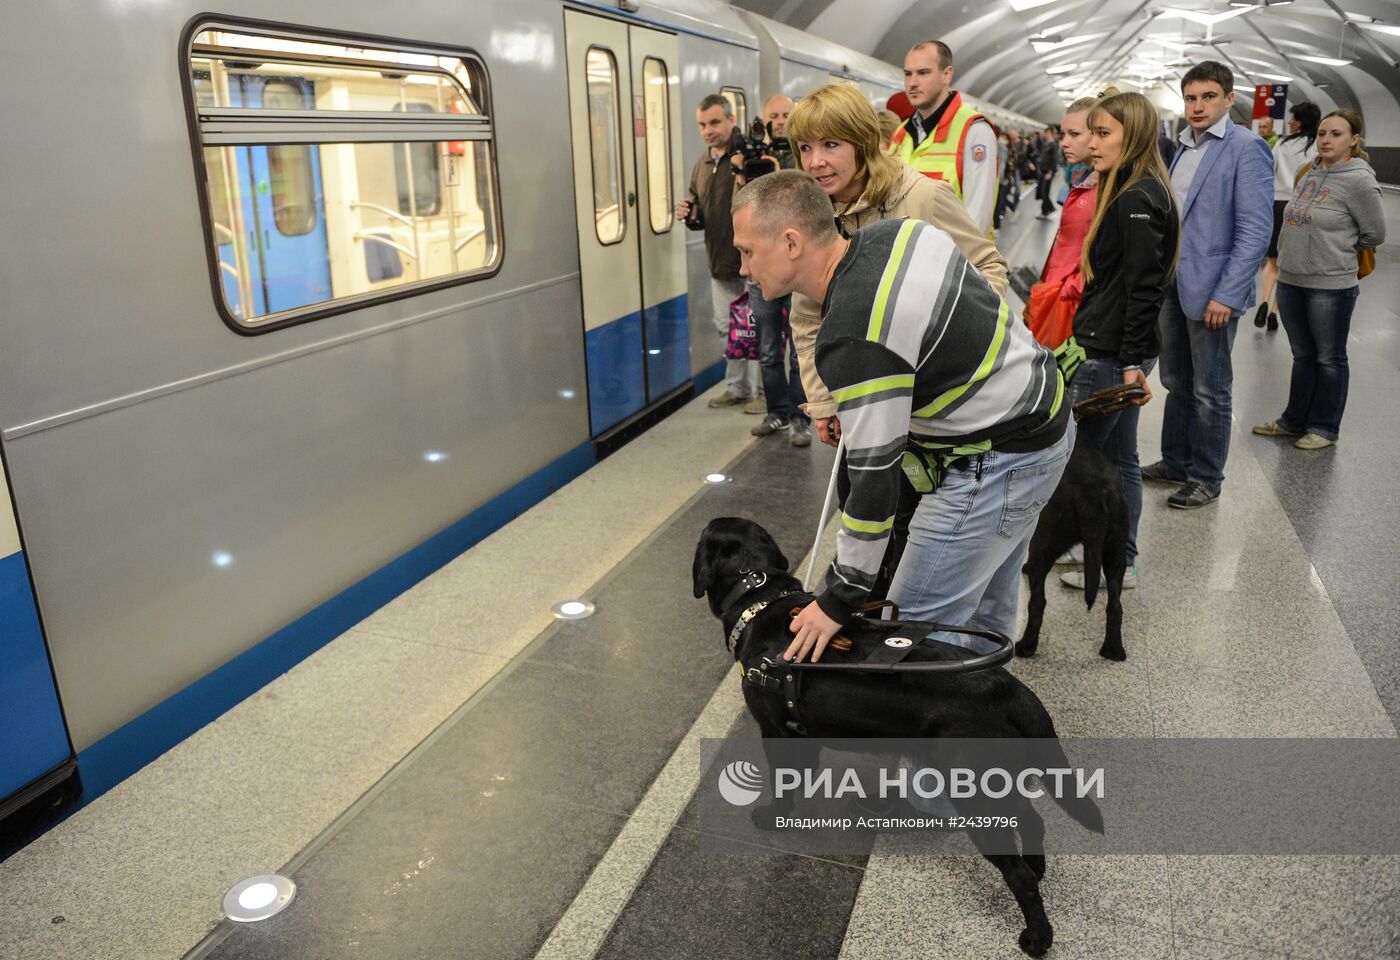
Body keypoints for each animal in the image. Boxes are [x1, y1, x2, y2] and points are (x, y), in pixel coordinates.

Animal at [691, 517, 1103, 957]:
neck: (760, 596)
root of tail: (1010, 689)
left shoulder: (774, 733)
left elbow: (783, 787)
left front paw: (774, 817)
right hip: (1000, 782)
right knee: (1033, 823)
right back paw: (1038, 868)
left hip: (976, 795)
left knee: (1019, 876)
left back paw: (1037, 936)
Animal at [1024, 433, 1131, 666]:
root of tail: (1093, 492)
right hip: (1116, 553)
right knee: (1115, 607)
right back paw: (1113, 650)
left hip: (1044, 541)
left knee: (1038, 602)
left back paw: (1026, 646)